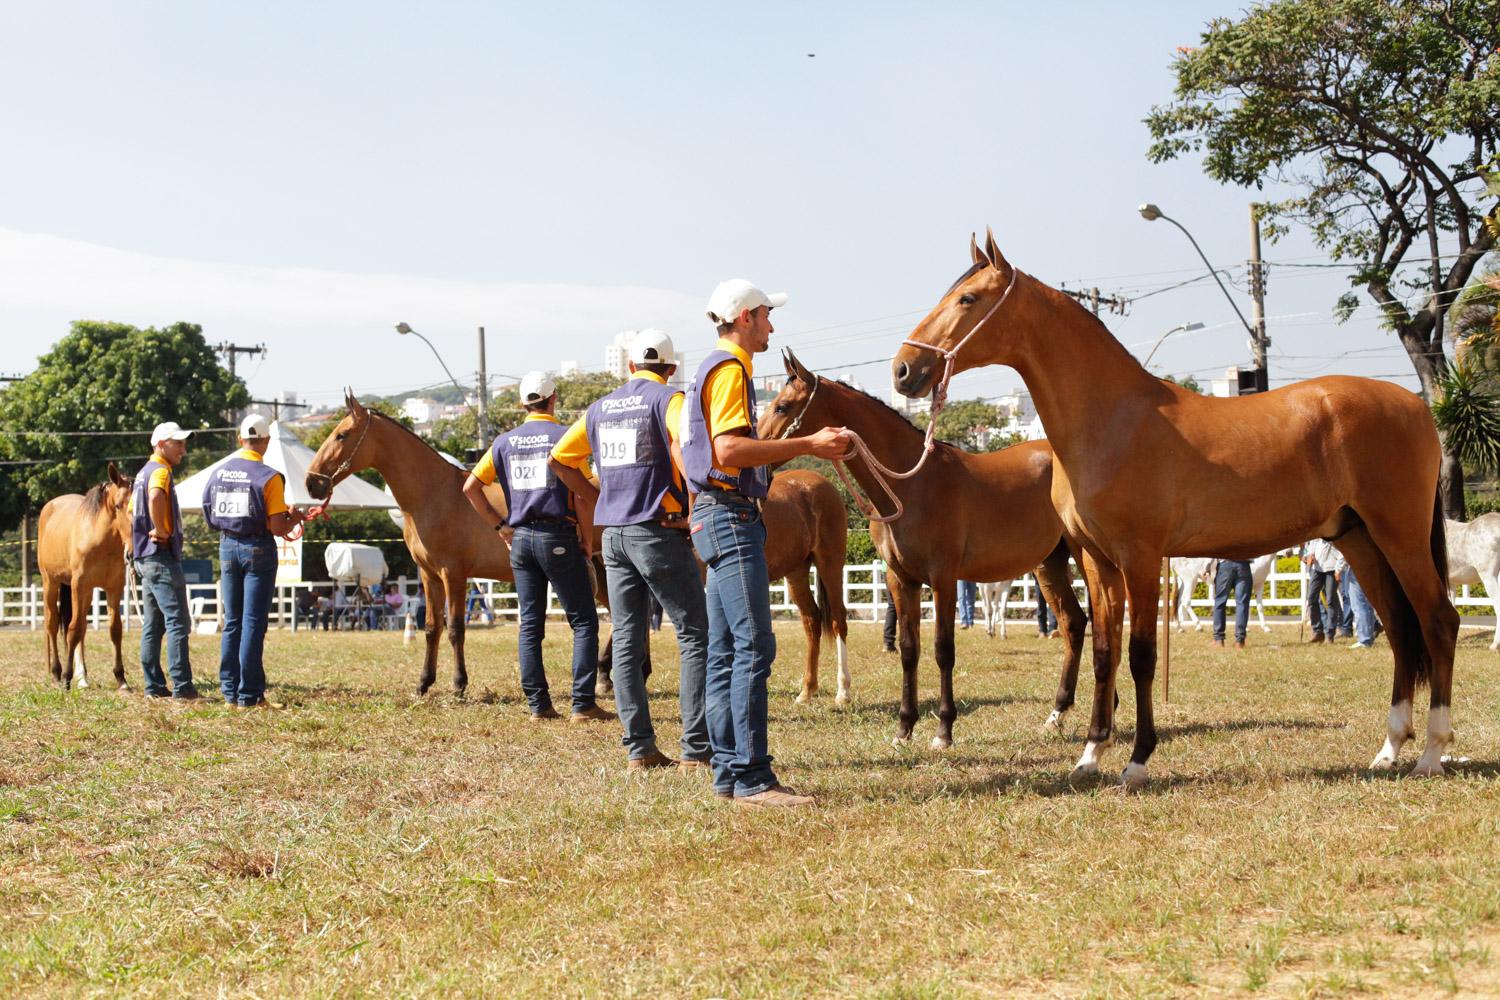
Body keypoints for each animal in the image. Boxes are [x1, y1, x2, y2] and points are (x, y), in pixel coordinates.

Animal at [38, 464, 133, 692]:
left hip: (87, 593)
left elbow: (114, 629)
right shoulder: (78, 586)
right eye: (118, 505)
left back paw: (82, 677)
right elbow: (72, 629)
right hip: (50, 583)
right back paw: (56, 673)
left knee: (81, 628)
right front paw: (66, 678)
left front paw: (121, 679)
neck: (102, 542)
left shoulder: (114, 587)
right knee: (53, 623)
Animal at [756, 347, 1086, 746]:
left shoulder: (943, 580)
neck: (913, 486)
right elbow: (909, 650)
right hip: (1049, 563)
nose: (756, 454)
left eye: (783, 406)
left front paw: (944, 729)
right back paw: (1060, 714)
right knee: (1075, 623)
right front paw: (904, 728)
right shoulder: (902, 581)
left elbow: (943, 650)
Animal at [894, 230, 1458, 785]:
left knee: (1438, 622)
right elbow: (1105, 653)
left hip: (1400, 536)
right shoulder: (1097, 560)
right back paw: (1389, 750)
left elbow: (1141, 655)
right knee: (1401, 631)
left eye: (968, 299)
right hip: (1359, 539)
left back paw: (1432, 752)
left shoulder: (1140, 557)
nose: (903, 370)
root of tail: (1416, 406)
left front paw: (1138, 759)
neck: (1113, 420)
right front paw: (1090, 754)